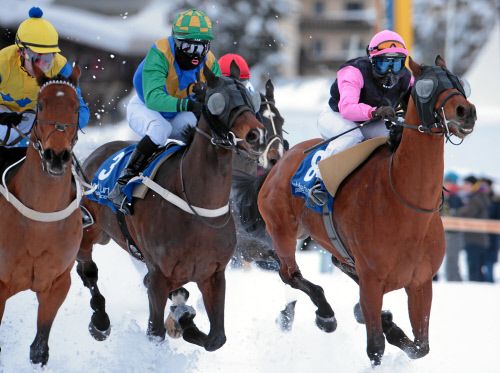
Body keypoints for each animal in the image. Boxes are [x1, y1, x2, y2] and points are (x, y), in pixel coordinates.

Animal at [0, 66, 82, 364]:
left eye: (77, 106)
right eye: (41, 104)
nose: (56, 156)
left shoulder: (57, 283)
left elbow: (39, 348)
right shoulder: (0, 284)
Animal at [77, 62, 266, 350]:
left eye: (250, 96)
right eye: (218, 100)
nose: (256, 134)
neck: (198, 207)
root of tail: (96, 154)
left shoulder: (213, 275)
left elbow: (216, 338)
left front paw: (185, 322)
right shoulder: (159, 276)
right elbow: (155, 331)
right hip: (91, 231)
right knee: (87, 269)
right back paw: (100, 322)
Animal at [238, 55, 476, 364]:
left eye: (457, 82)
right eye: (427, 87)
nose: (465, 112)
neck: (407, 205)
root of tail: (277, 165)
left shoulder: (421, 283)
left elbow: (420, 347)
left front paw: (391, 327)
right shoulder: (373, 282)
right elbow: (375, 346)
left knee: (335, 264)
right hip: (282, 230)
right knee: (289, 274)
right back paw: (326, 315)